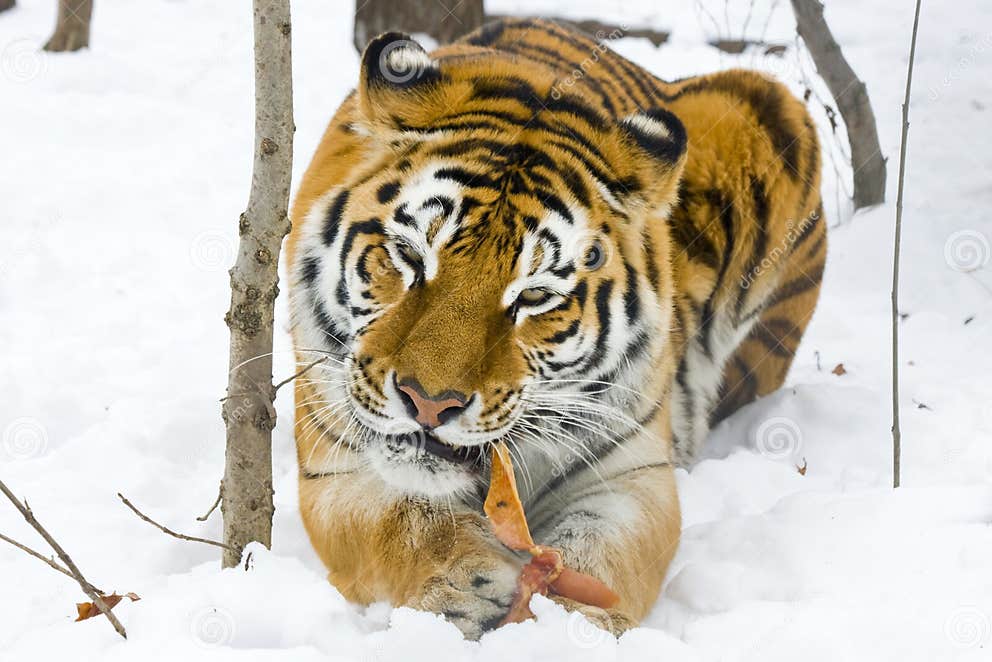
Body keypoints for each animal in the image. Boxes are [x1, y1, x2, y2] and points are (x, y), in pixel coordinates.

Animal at [287, 18, 825, 639]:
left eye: (534, 296)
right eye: (411, 258)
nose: (428, 403)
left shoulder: (629, 476)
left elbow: (600, 552)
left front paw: (574, 625)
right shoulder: (335, 468)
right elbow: (408, 525)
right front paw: (462, 590)